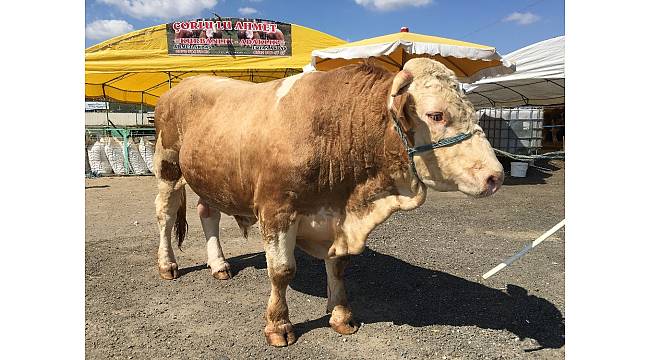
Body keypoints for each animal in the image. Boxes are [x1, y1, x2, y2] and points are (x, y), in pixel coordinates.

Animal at [151, 58, 502, 346]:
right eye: (436, 115)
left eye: (473, 111)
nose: (495, 176)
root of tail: (182, 86)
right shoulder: (276, 208)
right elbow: (282, 270)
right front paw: (279, 326)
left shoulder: (337, 217)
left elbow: (339, 265)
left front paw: (341, 315)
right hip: (168, 167)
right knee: (165, 215)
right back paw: (168, 265)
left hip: (209, 177)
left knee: (207, 213)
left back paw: (219, 265)